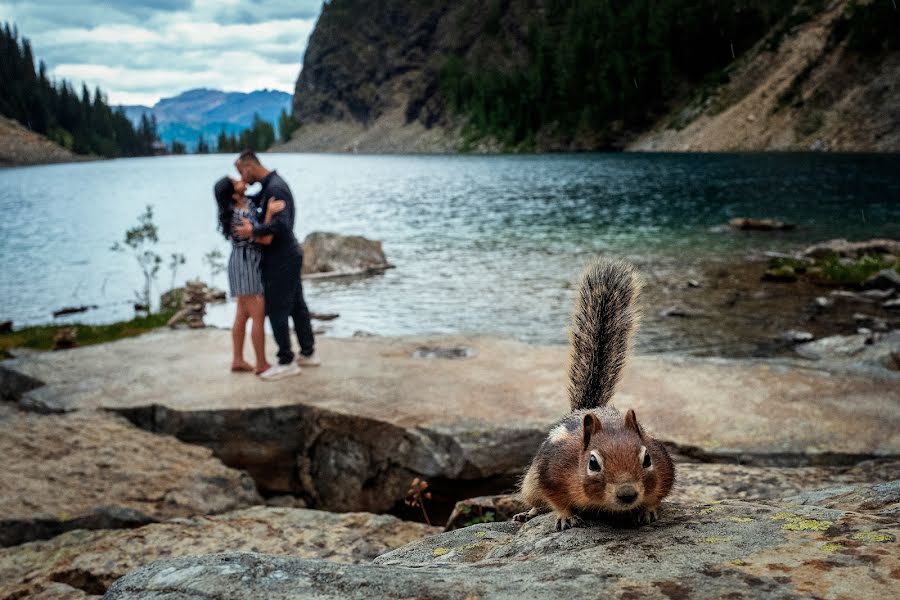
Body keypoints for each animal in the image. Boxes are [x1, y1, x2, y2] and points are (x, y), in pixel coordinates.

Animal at [512, 258, 676, 528]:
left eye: (647, 459)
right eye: (593, 463)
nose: (627, 494)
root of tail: (587, 408)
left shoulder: (664, 470)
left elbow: (658, 493)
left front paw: (648, 510)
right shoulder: (550, 473)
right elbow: (555, 499)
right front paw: (565, 516)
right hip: (529, 483)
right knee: (535, 500)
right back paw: (528, 513)